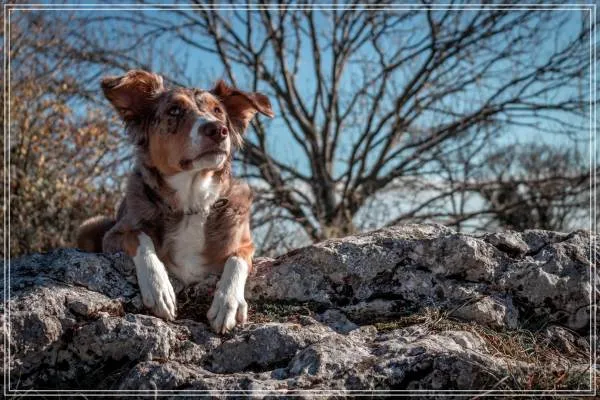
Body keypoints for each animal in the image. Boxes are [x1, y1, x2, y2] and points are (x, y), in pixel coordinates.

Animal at [76, 70, 274, 333]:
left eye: (218, 111)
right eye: (174, 110)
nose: (218, 130)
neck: (192, 202)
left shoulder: (245, 243)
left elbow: (236, 260)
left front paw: (228, 302)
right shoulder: (115, 234)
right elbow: (139, 237)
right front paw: (159, 288)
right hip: (88, 226)